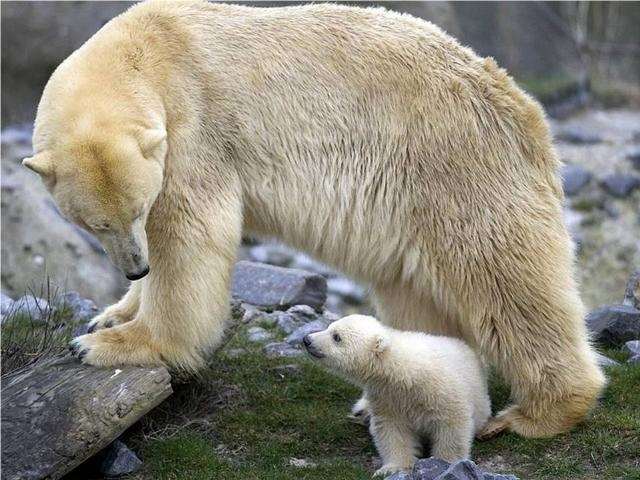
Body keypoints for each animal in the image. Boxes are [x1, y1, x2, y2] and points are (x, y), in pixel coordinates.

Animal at [26, 0, 604, 436]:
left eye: (138, 208)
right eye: (94, 224)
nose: (134, 267)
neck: (145, 50)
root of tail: (523, 108)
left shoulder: (193, 128)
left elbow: (188, 236)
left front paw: (110, 344)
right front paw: (111, 314)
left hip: (454, 165)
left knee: (504, 275)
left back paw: (537, 412)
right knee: (417, 293)